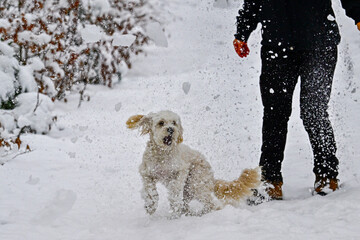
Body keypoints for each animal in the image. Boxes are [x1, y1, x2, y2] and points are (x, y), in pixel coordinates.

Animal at [127, 110, 262, 218]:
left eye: (174, 123)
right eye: (161, 123)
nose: (171, 129)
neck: (162, 154)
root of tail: (212, 178)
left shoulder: (180, 171)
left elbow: (174, 190)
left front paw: (172, 210)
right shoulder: (147, 173)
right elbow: (150, 191)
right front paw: (150, 206)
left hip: (195, 183)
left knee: (211, 205)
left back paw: (199, 214)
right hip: (189, 189)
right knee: (188, 204)